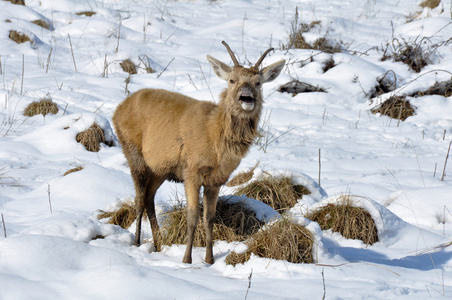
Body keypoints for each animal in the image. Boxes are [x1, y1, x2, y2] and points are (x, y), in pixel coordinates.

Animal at [112, 41, 282, 264]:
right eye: (232, 80)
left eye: (258, 83)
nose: (246, 96)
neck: (215, 141)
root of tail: (117, 110)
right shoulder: (191, 170)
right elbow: (192, 216)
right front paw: (187, 259)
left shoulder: (216, 179)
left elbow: (209, 218)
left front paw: (209, 259)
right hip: (133, 151)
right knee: (139, 199)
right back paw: (137, 242)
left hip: (160, 168)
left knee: (149, 197)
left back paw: (158, 244)